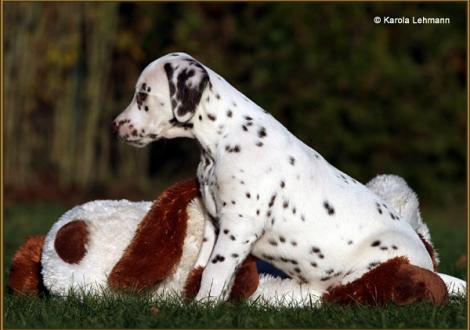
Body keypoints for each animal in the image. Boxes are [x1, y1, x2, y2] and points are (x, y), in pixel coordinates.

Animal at [113, 52, 466, 302]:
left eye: (142, 96)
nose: (115, 126)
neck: (224, 138)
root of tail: (430, 267)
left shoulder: (238, 227)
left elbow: (215, 269)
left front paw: (203, 306)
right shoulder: (215, 223)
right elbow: (204, 267)